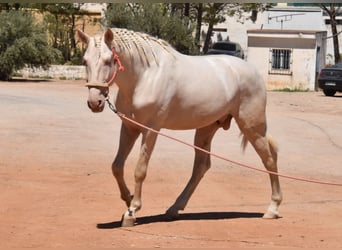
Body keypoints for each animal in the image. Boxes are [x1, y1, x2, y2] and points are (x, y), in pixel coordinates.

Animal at [77, 27, 284, 227]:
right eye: (85, 60)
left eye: (108, 60)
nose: (95, 102)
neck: (145, 77)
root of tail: (253, 72)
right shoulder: (129, 128)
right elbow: (117, 166)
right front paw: (128, 199)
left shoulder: (150, 130)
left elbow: (140, 170)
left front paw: (132, 210)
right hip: (206, 129)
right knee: (201, 167)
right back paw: (174, 209)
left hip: (251, 126)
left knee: (269, 160)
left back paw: (272, 209)